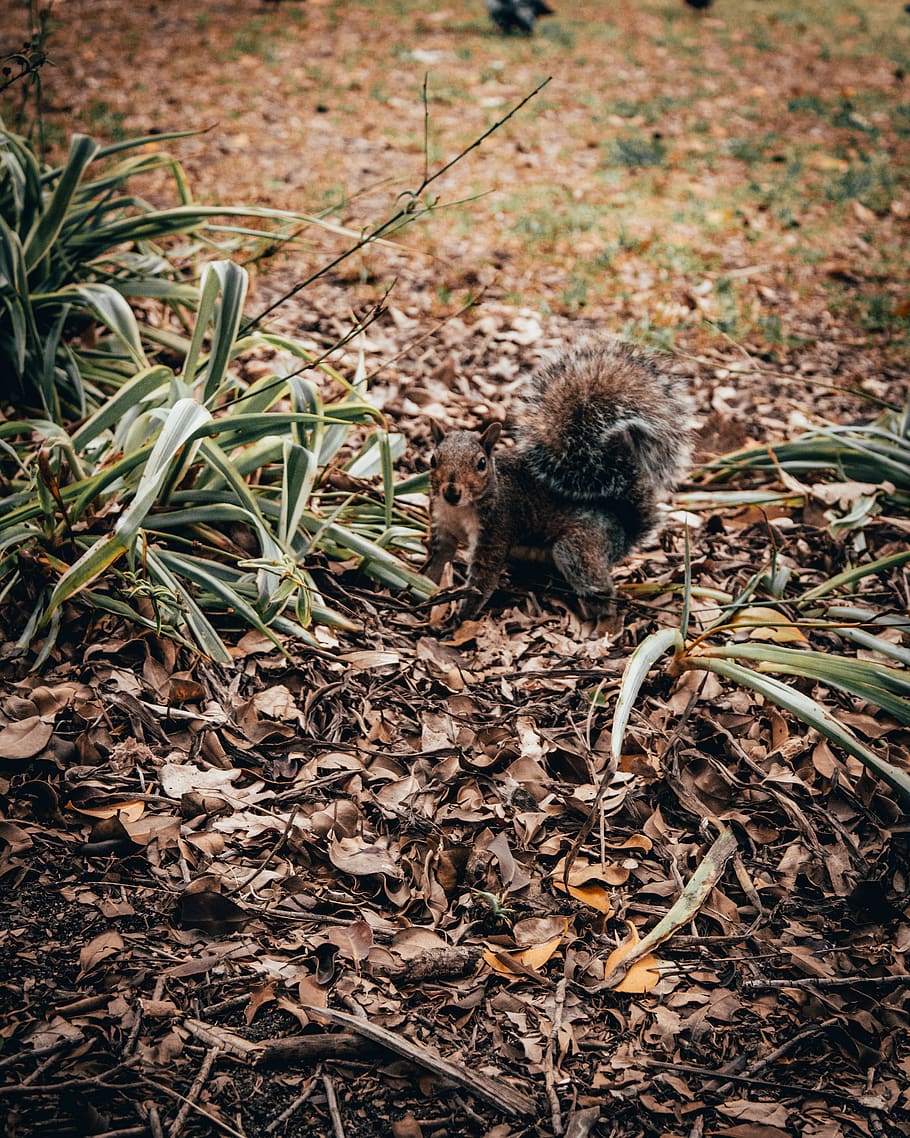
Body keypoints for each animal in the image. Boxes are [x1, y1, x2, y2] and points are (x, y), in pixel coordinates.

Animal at [424, 338, 691, 619]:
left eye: (481, 464)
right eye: (433, 459)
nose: (451, 491)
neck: (462, 509)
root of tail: (622, 534)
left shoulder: (495, 529)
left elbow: (482, 581)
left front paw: (460, 617)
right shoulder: (442, 524)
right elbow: (439, 560)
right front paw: (426, 586)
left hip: (577, 548)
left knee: (603, 592)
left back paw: (601, 620)